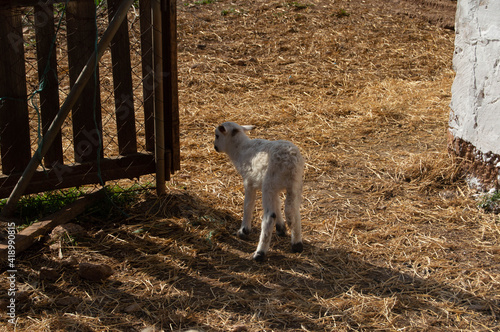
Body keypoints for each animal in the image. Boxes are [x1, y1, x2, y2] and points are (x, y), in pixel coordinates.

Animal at [213, 122, 302, 262]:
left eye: (217, 135)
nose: (215, 147)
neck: (240, 150)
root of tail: (289, 161)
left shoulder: (249, 182)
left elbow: (248, 206)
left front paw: (243, 231)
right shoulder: (274, 189)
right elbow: (277, 204)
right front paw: (281, 228)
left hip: (269, 183)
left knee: (269, 217)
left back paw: (259, 253)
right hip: (294, 184)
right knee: (294, 211)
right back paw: (297, 244)